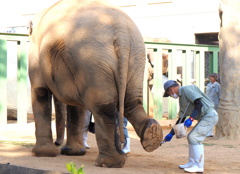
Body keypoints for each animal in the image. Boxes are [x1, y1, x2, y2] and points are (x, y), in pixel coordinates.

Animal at [28, 0, 163, 168]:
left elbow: (40, 91)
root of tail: (122, 35)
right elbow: (76, 104)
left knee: (103, 108)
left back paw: (108, 163)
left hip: (91, 60)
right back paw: (152, 134)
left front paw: (42, 154)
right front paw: (73, 153)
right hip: (135, 58)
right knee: (132, 102)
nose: (58, 144)